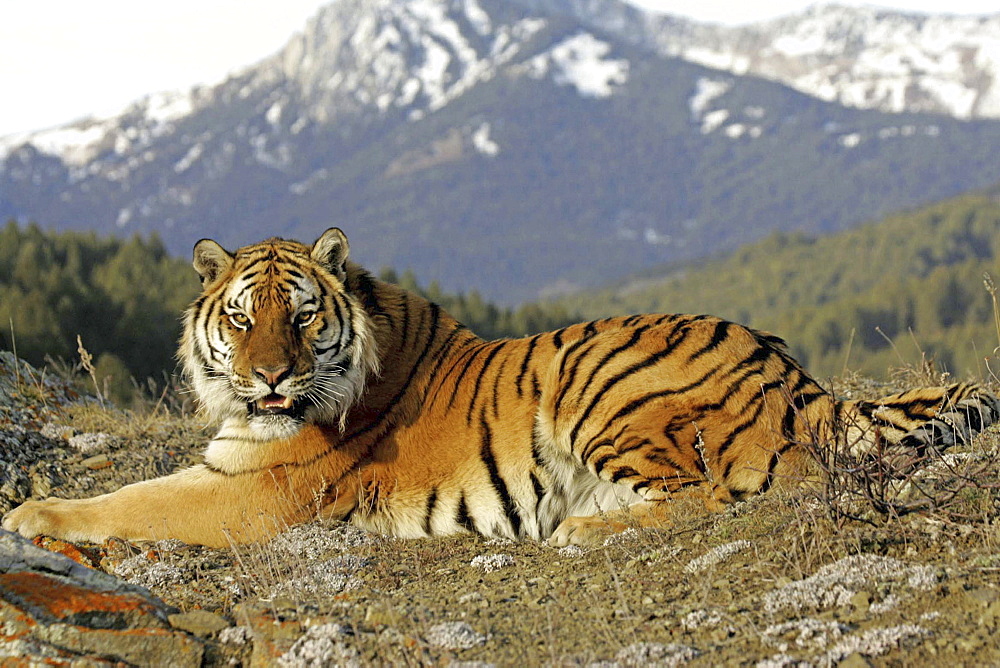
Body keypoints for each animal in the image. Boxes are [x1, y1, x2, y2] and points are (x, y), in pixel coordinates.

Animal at [3, 230, 996, 548]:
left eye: (301, 317)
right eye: (244, 320)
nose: (270, 376)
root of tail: (798, 379)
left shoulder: (248, 491)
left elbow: (129, 502)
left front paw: (28, 515)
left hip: (606, 388)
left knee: (725, 493)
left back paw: (581, 530)